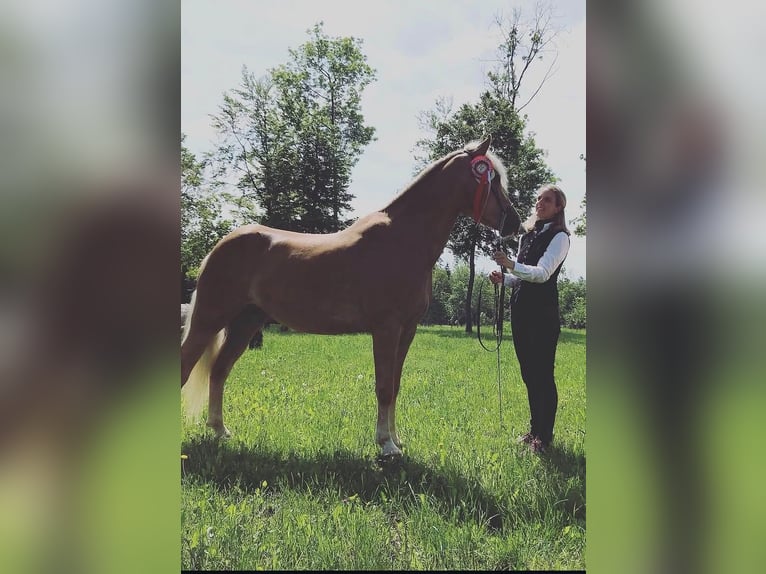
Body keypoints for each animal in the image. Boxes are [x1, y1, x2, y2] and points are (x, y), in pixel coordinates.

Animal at [181, 135, 520, 457]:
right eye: (491, 181)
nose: (514, 223)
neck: (404, 240)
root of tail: (220, 245)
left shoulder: (407, 330)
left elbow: (395, 385)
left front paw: (396, 438)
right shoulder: (386, 328)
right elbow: (383, 387)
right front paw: (386, 444)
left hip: (245, 322)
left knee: (219, 370)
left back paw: (220, 431)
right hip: (209, 319)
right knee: (187, 364)